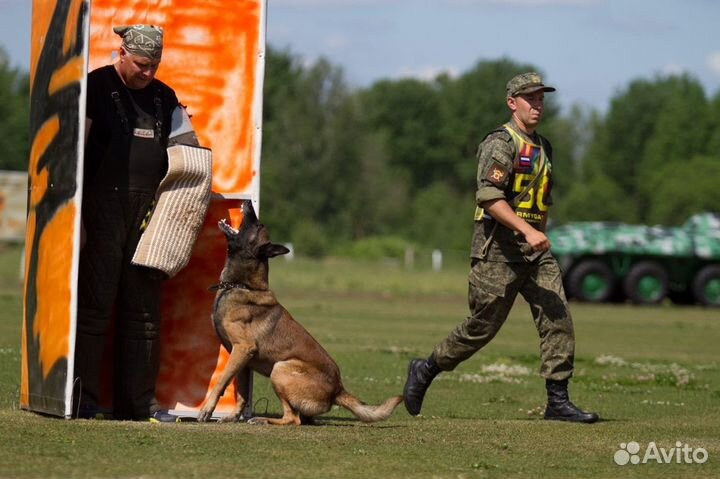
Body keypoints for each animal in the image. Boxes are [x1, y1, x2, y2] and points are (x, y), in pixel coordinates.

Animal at [197, 201, 404, 426]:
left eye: (258, 225)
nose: (249, 202)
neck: (243, 285)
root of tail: (338, 390)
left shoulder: (243, 349)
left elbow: (221, 382)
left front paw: (207, 410)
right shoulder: (243, 361)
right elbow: (242, 393)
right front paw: (233, 416)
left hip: (280, 368)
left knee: (292, 418)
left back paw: (263, 420)